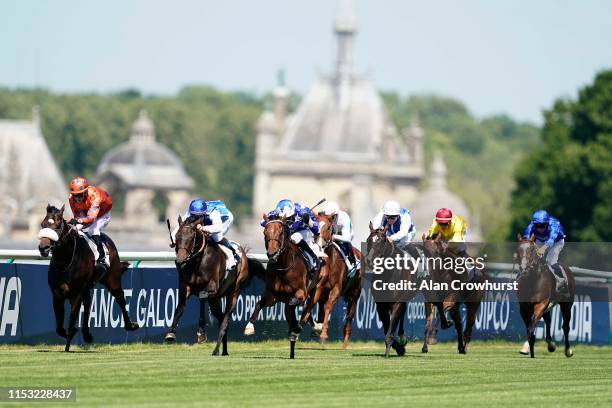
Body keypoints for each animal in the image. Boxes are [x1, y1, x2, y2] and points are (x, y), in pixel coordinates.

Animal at [37, 204, 139, 350]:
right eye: (42, 224)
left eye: (57, 225)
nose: (43, 247)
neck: (65, 260)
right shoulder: (57, 293)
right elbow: (59, 327)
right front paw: (71, 334)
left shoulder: (76, 292)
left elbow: (72, 317)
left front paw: (70, 339)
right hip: (87, 287)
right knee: (88, 304)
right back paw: (86, 334)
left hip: (112, 280)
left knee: (120, 299)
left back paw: (130, 325)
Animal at [164, 215, 260, 356]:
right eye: (176, 236)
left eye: (191, 237)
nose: (180, 261)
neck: (197, 262)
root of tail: (243, 254)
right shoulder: (185, 286)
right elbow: (180, 307)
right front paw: (171, 333)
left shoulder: (212, 286)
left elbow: (201, 297)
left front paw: (201, 333)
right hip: (215, 300)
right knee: (221, 319)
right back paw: (223, 350)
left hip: (234, 292)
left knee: (225, 321)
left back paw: (216, 350)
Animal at [244, 215, 310, 358]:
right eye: (265, 232)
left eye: (280, 232)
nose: (272, 254)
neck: (283, 267)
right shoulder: (271, 296)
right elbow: (259, 304)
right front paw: (249, 327)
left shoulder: (302, 292)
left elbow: (295, 301)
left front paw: (297, 326)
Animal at [300, 214, 364, 348]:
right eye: (315, 226)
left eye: (329, 227)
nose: (319, 243)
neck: (331, 262)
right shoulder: (317, 287)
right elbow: (309, 305)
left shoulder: (336, 289)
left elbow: (328, 307)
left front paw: (323, 335)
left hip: (354, 295)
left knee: (349, 317)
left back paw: (345, 344)